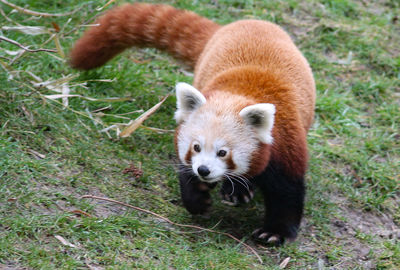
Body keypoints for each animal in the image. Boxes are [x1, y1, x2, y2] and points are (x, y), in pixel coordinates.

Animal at [69, 2, 316, 247]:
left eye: (223, 152)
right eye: (196, 147)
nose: (204, 170)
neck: (238, 93)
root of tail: (241, 24)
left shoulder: (285, 143)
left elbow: (287, 192)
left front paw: (274, 232)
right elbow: (186, 174)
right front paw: (198, 200)